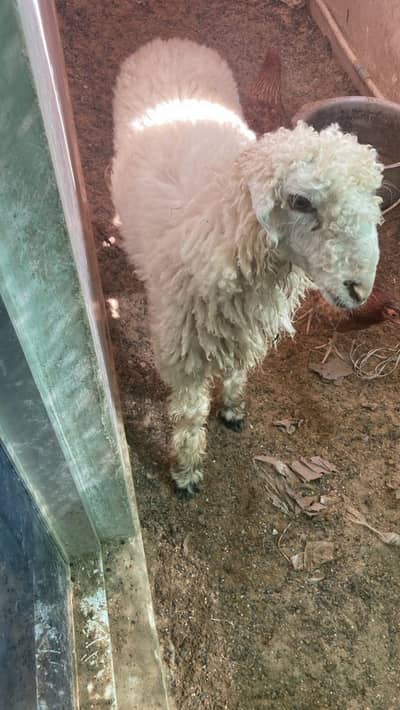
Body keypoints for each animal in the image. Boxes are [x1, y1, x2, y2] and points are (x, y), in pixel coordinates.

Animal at [111, 38, 383, 497]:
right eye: (300, 201)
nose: (360, 289)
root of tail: (171, 40)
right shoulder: (182, 350)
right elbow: (189, 413)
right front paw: (186, 470)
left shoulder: (245, 325)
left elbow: (238, 369)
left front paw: (233, 407)